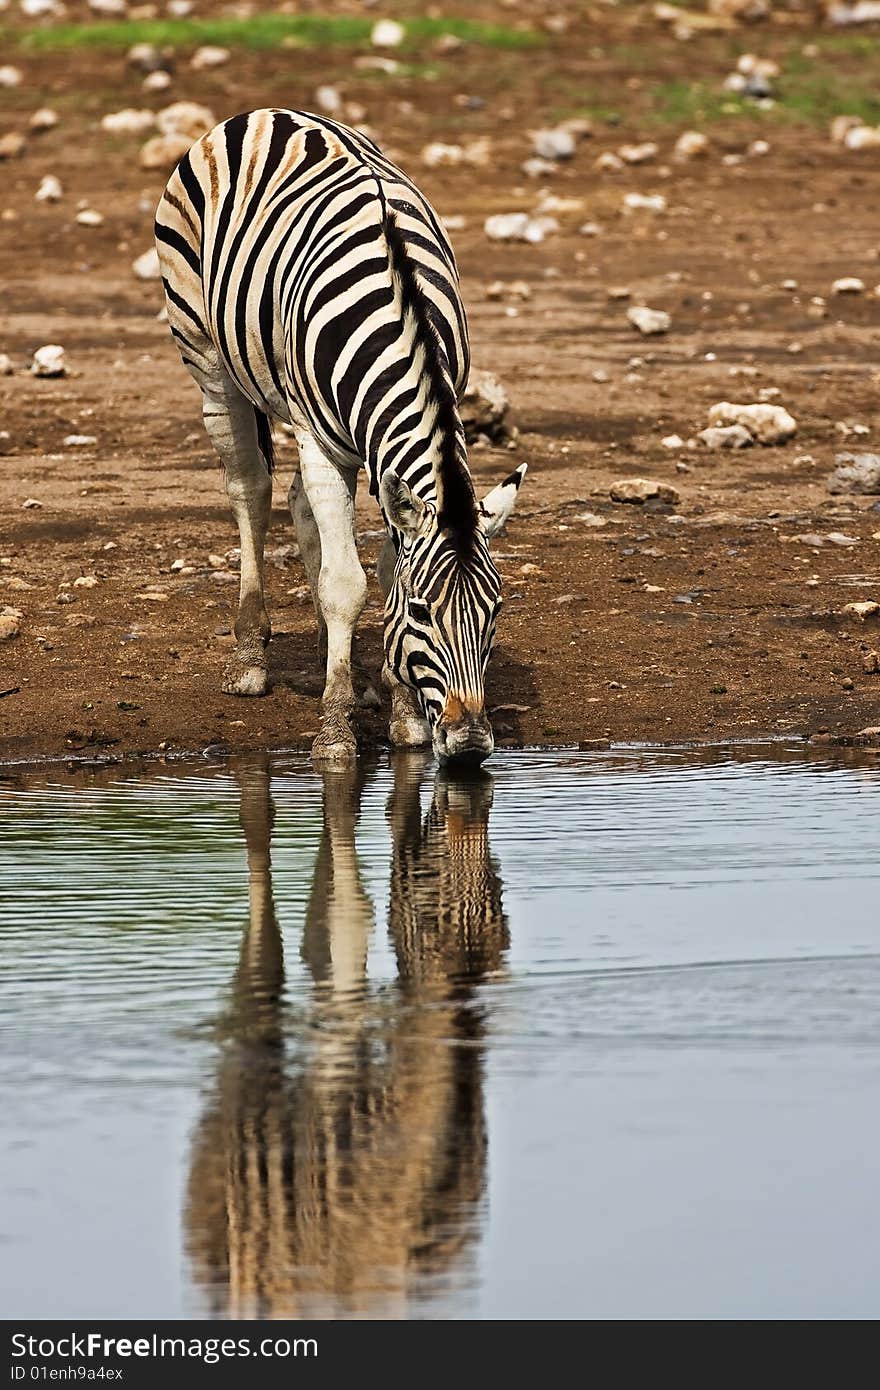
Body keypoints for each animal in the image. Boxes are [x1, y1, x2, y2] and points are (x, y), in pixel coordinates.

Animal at [154, 108, 525, 767]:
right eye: (426, 612)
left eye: (497, 610)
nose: (468, 746)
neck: (403, 325)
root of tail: (264, 113)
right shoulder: (324, 443)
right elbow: (345, 585)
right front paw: (334, 730)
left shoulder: (388, 456)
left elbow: (383, 571)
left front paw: (400, 708)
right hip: (206, 355)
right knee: (250, 489)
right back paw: (250, 659)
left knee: (301, 506)